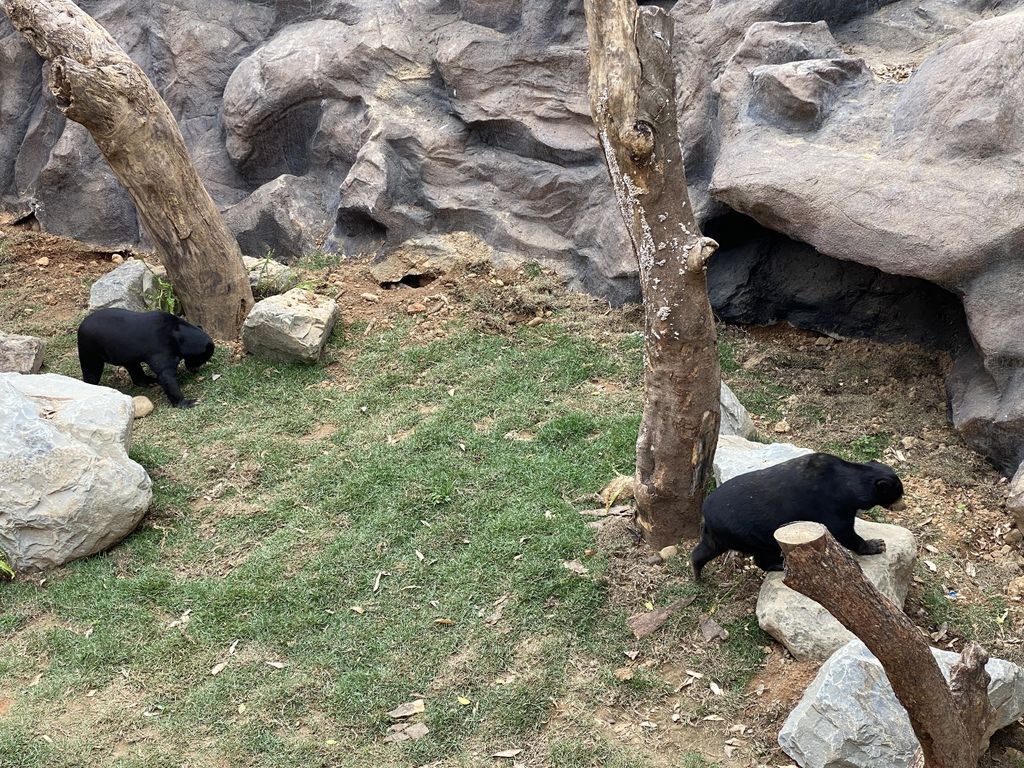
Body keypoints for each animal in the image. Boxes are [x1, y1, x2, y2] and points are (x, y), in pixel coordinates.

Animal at [688, 454, 905, 581]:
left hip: (721, 535)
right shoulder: (832, 505)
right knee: (762, 553)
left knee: (706, 549)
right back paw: (777, 564)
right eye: (899, 494)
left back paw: (697, 572)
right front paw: (876, 545)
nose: (903, 505)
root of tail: (705, 513)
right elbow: (843, 531)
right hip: (748, 532)